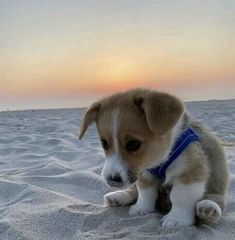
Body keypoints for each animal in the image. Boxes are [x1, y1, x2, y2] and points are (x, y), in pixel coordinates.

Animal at [78, 88, 229, 227]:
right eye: (104, 143)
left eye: (133, 144)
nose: (112, 180)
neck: (160, 159)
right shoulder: (144, 172)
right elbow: (145, 192)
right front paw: (142, 208)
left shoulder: (191, 171)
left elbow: (181, 197)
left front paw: (176, 219)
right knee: (133, 191)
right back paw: (118, 197)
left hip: (217, 188)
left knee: (216, 200)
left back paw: (208, 208)